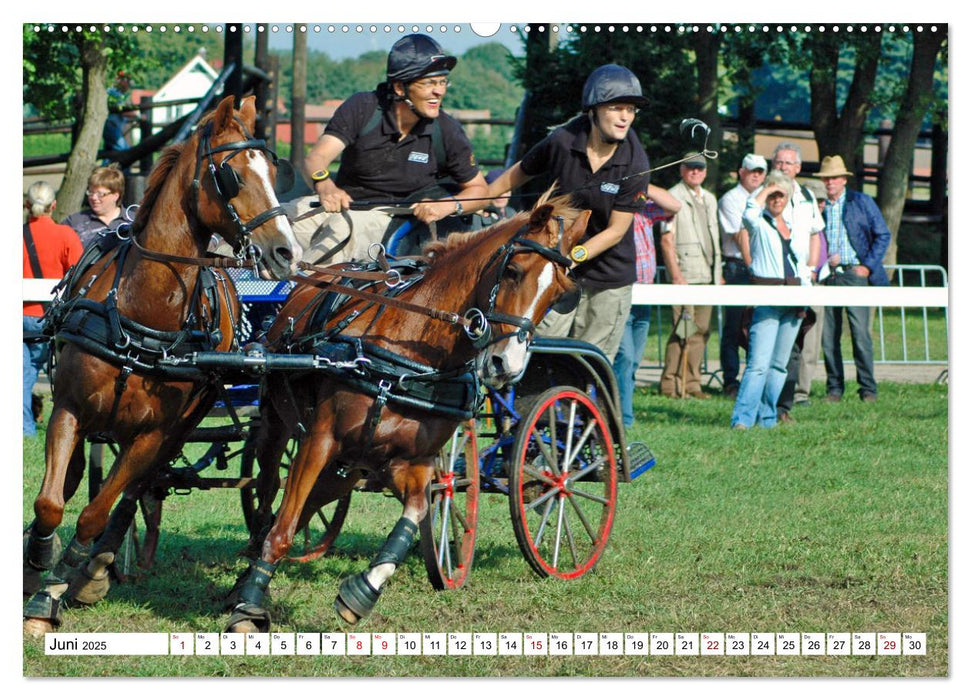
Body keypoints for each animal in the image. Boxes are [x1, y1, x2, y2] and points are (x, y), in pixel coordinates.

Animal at [23, 93, 304, 636]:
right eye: (233, 174)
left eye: (274, 170)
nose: (286, 251)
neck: (142, 312)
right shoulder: (68, 408)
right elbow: (51, 503)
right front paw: (38, 565)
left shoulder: (152, 434)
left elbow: (97, 511)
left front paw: (58, 589)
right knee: (78, 482)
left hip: (181, 425)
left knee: (139, 489)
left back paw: (99, 565)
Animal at [229, 194, 592, 632]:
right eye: (514, 272)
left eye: (558, 294)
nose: (507, 365)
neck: (411, 352)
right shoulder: (320, 439)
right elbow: (281, 527)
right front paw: (248, 605)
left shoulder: (413, 462)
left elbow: (415, 513)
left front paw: (361, 592)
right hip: (278, 426)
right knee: (268, 493)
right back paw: (249, 568)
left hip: (348, 468)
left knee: (311, 503)